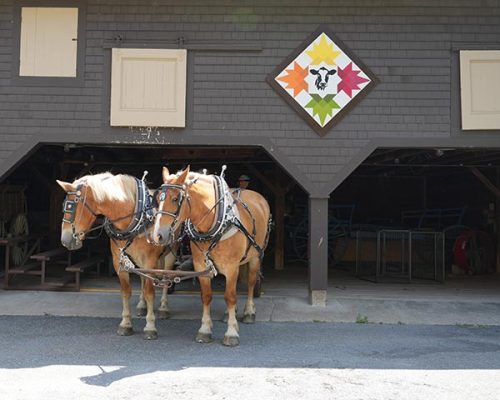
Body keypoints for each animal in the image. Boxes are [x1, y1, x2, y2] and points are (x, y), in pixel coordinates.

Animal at [56, 173, 176, 340]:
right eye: (64, 205)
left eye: (73, 205)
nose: (65, 240)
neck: (134, 217)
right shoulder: (119, 260)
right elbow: (126, 292)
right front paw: (126, 324)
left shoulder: (150, 261)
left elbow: (150, 292)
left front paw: (150, 326)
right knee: (143, 279)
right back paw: (142, 306)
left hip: (170, 254)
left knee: (166, 277)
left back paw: (164, 307)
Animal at [152, 166, 272, 346]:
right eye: (158, 198)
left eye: (175, 199)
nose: (158, 235)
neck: (217, 219)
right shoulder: (202, 266)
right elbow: (207, 296)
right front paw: (205, 330)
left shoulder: (231, 267)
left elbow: (230, 296)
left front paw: (231, 333)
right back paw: (229, 314)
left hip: (256, 256)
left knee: (251, 283)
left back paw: (249, 312)